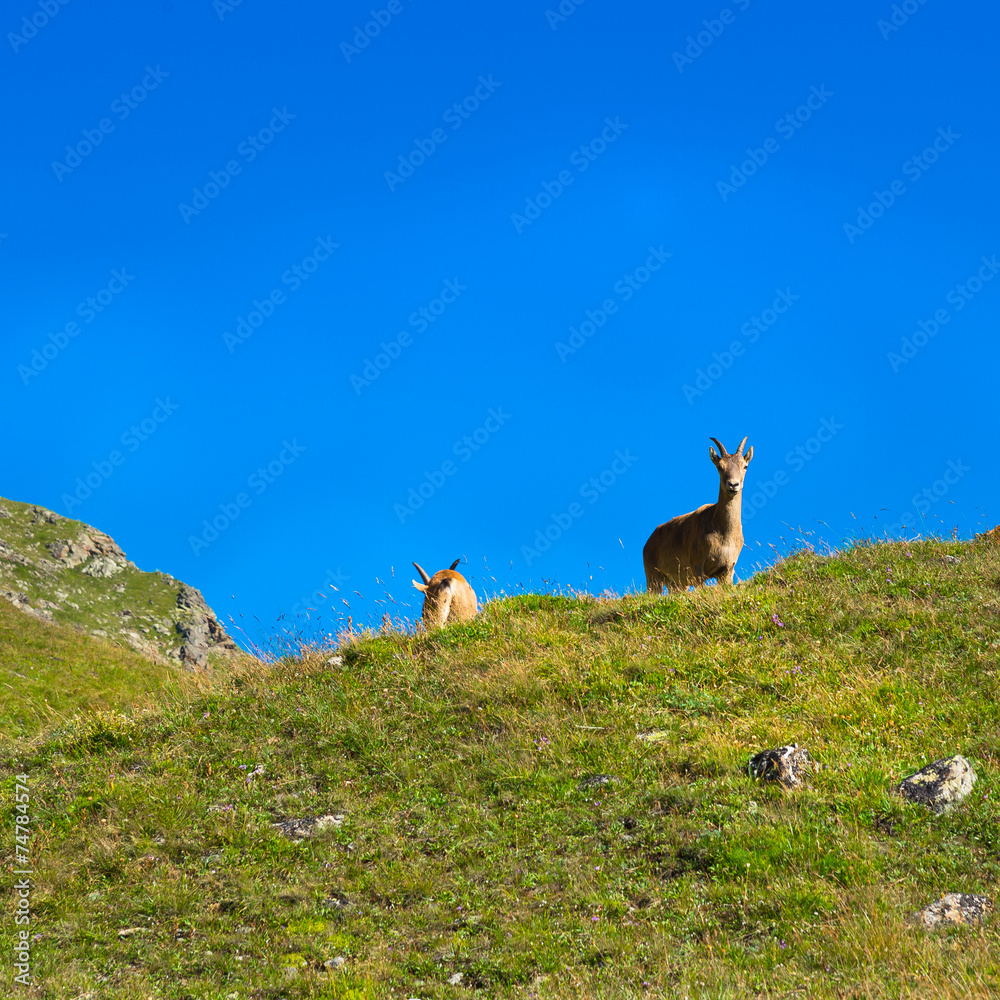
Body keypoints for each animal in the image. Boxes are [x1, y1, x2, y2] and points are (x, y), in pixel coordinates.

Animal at [644, 436, 752, 592]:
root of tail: (647, 543)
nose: (733, 485)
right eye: (720, 467)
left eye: (745, 466)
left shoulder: (727, 570)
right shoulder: (698, 568)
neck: (723, 533)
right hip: (653, 578)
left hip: (675, 584)